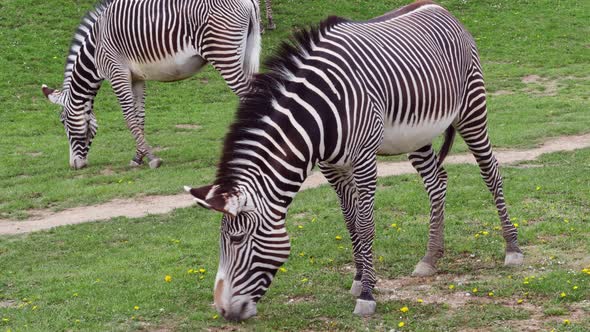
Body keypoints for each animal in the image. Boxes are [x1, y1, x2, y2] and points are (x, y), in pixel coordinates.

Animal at [41, 0, 262, 170]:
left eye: (64, 122)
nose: (74, 165)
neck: (95, 49)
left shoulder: (116, 72)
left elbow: (129, 118)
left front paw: (153, 159)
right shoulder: (137, 78)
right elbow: (140, 117)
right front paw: (138, 157)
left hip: (223, 54)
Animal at [186, 0, 528, 322]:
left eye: (237, 238)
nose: (223, 310)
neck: (318, 117)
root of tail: (439, 8)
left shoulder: (364, 159)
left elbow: (365, 224)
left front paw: (366, 295)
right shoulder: (331, 167)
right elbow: (350, 221)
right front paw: (360, 277)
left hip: (472, 109)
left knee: (491, 172)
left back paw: (512, 249)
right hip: (416, 135)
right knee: (437, 181)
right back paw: (430, 257)